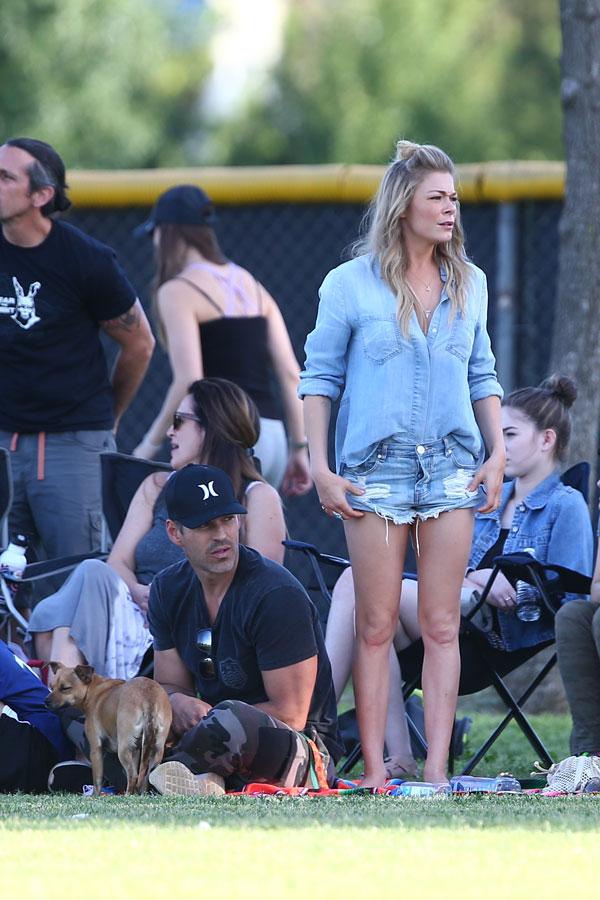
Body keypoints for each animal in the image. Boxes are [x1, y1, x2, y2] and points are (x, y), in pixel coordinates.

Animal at [47, 660, 171, 796]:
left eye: (65, 688)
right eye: (51, 687)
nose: (45, 701)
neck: (92, 688)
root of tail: (148, 698)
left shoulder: (96, 749)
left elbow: (97, 779)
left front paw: (95, 796)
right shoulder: (136, 749)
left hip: (123, 749)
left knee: (133, 775)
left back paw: (127, 795)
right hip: (156, 751)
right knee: (145, 776)